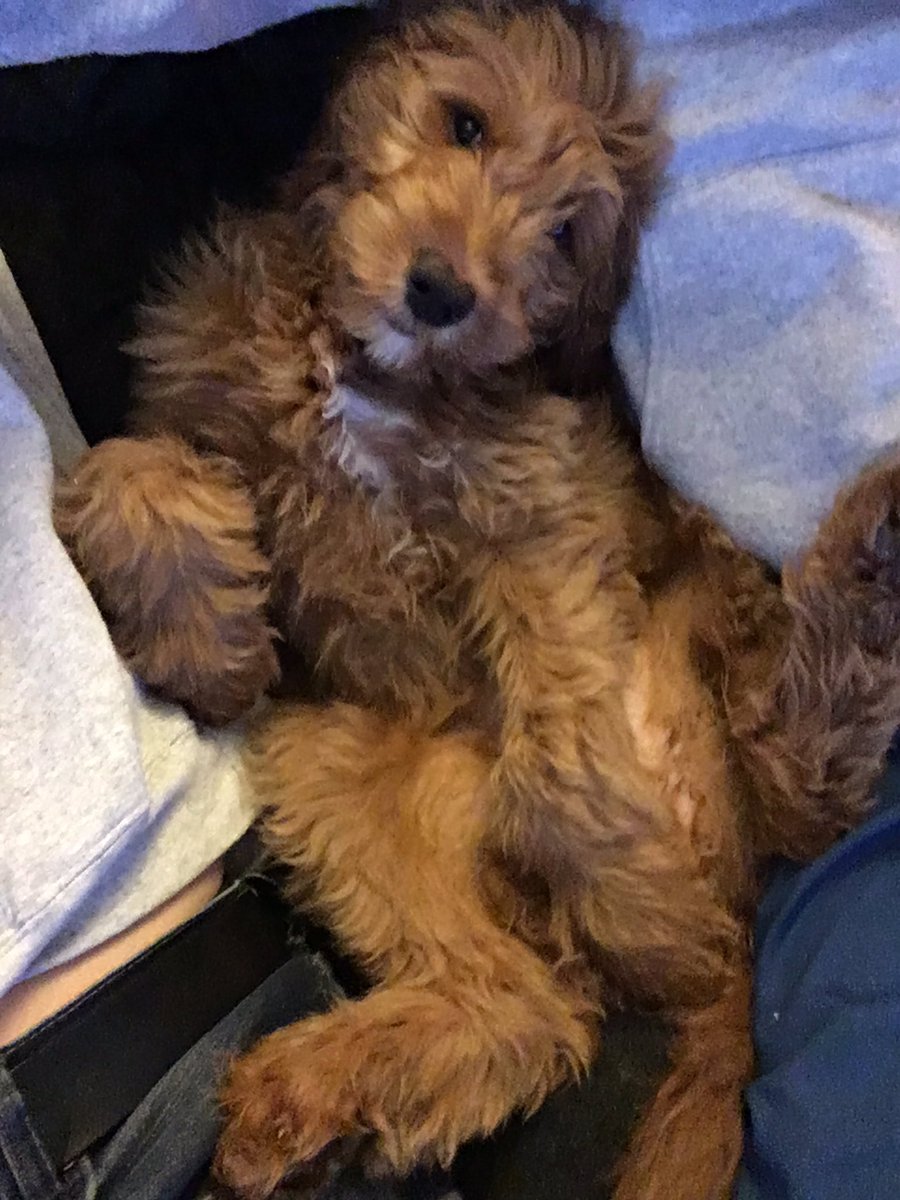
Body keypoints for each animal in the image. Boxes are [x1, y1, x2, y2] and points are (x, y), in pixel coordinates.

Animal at [58, 2, 900, 1200]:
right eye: (465, 123)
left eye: (563, 232)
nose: (445, 293)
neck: (368, 373)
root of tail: (733, 944)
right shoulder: (208, 413)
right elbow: (126, 473)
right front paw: (207, 649)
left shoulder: (539, 506)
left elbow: (562, 755)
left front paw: (616, 870)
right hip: (328, 763)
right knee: (526, 1010)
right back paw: (296, 1102)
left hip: (710, 612)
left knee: (800, 782)